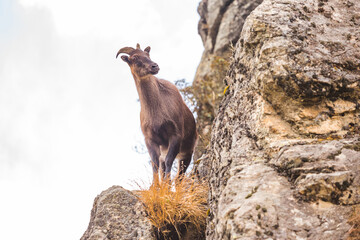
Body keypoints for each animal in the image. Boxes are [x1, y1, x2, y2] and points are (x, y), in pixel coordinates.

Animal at [117, 43, 197, 184]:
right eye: (134, 58)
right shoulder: (150, 139)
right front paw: (155, 186)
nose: (155, 66)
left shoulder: (175, 135)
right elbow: (155, 163)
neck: (157, 113)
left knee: (179, 176)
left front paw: (166, 185)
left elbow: (169, 160)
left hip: (187, 152)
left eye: (147, 54)